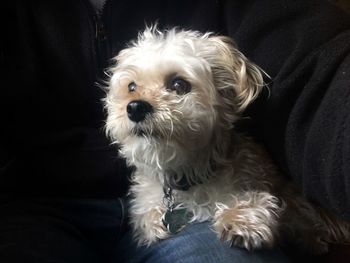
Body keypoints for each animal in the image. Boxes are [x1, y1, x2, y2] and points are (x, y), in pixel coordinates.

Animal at [104, 26, 350, 254]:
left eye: (178, 84)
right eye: (131, 86)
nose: (135, 107)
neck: (185, 175)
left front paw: (242, 218)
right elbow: (146, 212)